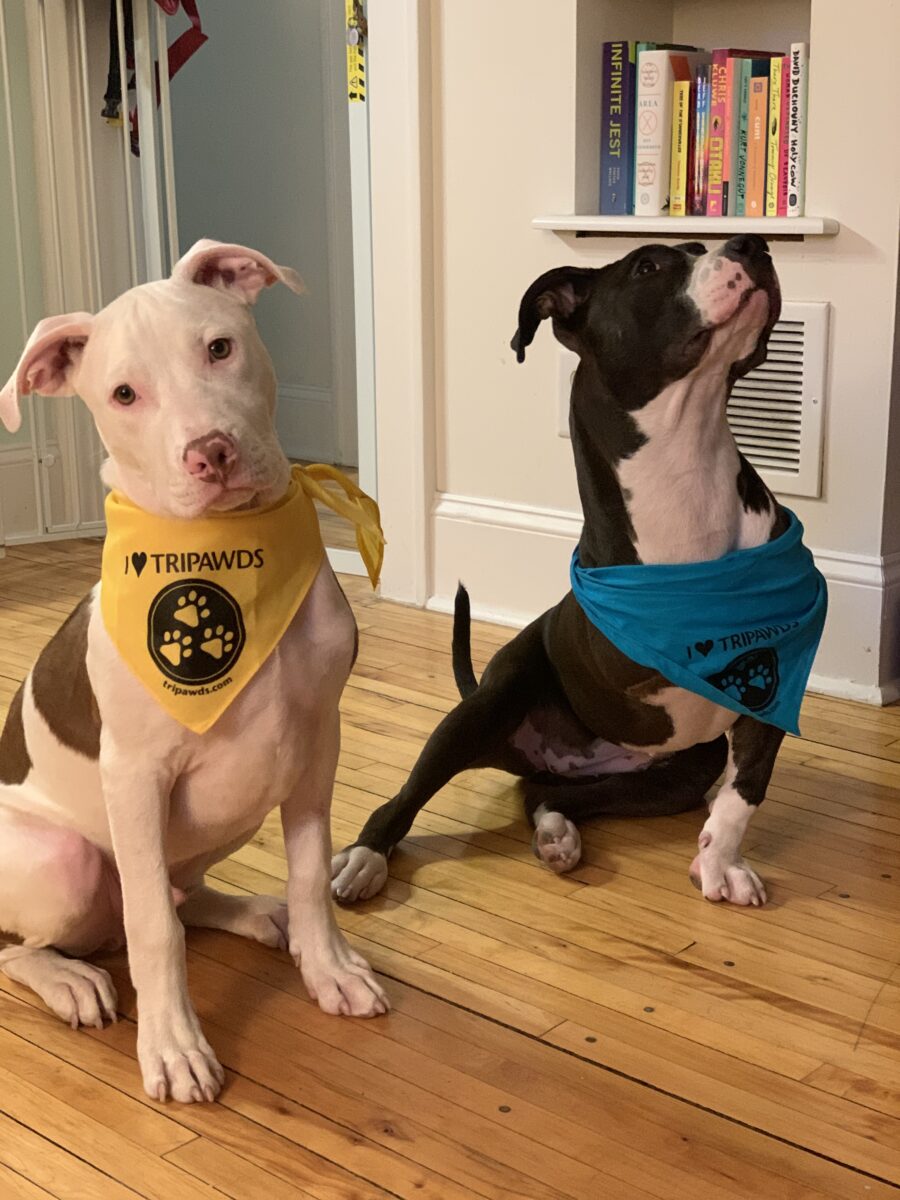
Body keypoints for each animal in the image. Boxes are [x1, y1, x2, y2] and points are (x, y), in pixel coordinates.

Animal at [0, 241, 388, 1104]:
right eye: (123, 393)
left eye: (220, 347)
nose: (211, 451)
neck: (230, 555)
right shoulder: (135, 777)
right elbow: (152, 931)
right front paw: (173, 1045)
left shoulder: (317, 744)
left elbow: (309, 872)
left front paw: (328, 965)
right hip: (67, 862)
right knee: (35, 941)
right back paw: (70, 981)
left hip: (230, 813)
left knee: (184, 896)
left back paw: (256, 913)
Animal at [333, 234, 787, 907]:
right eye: (648, 266)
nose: (752, 242)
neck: (688, 467)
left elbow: (744, 790)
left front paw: (720, 862)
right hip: (483, 708)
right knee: (406, 797)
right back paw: (365, 857)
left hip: (672, 776)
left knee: (546, 795)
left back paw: (556, 832)